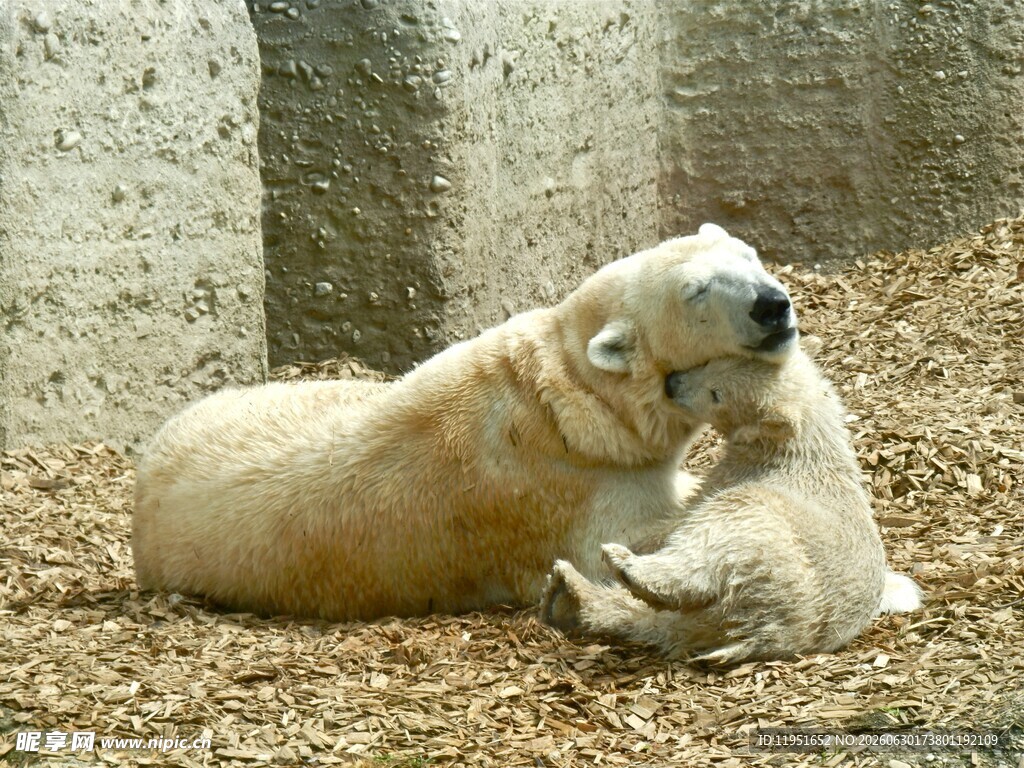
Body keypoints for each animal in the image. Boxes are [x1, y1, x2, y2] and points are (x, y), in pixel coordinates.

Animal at [132, 223, 799, 622]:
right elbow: (623, 545)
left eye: (748, 254)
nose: (772, 304)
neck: (574, 397)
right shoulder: (559, 492)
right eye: (697, 291)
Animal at [540, 343, 923, 663]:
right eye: (711, 361)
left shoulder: (741, 473)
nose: (672, 384)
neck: (803, 445)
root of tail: (768, 629)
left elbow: (683, 517)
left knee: (709, 544)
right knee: (657, 620)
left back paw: (621, 565)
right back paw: (569, 595)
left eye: (717, 395)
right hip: (714, 619)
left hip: (767, 540)